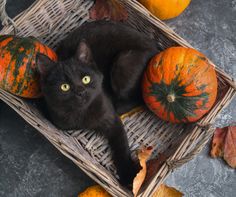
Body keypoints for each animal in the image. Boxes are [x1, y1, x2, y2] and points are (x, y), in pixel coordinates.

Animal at [36, 20, 159, 186]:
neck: (82, 114)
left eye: (85, 79)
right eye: (64, 87)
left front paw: (128, 175)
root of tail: (156, 49)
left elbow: (121, 146)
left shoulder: (112, 120)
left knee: (139, 98)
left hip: (122, 62)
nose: (80, 92)